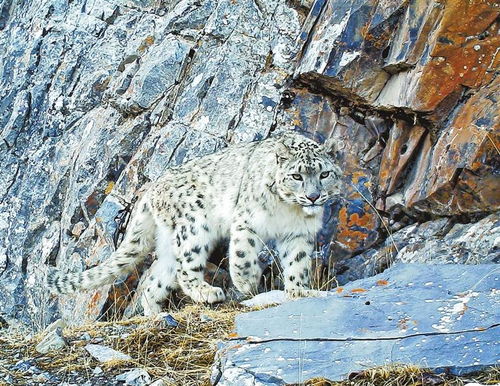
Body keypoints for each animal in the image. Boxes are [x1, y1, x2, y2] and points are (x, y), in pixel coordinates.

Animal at [47, 131, 342, 316]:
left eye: (324, 174)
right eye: (296, 176)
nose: (313, 196)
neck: (289, 209)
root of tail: (152, 188)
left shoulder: (299, 234)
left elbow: (298, 262)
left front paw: (298, 290)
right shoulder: (247, 221)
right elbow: (242, 255)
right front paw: (247, 282)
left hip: (170, 242)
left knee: (156, 278)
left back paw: (155, 313)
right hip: (193, 227)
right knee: (185, 269)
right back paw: (207, 292)